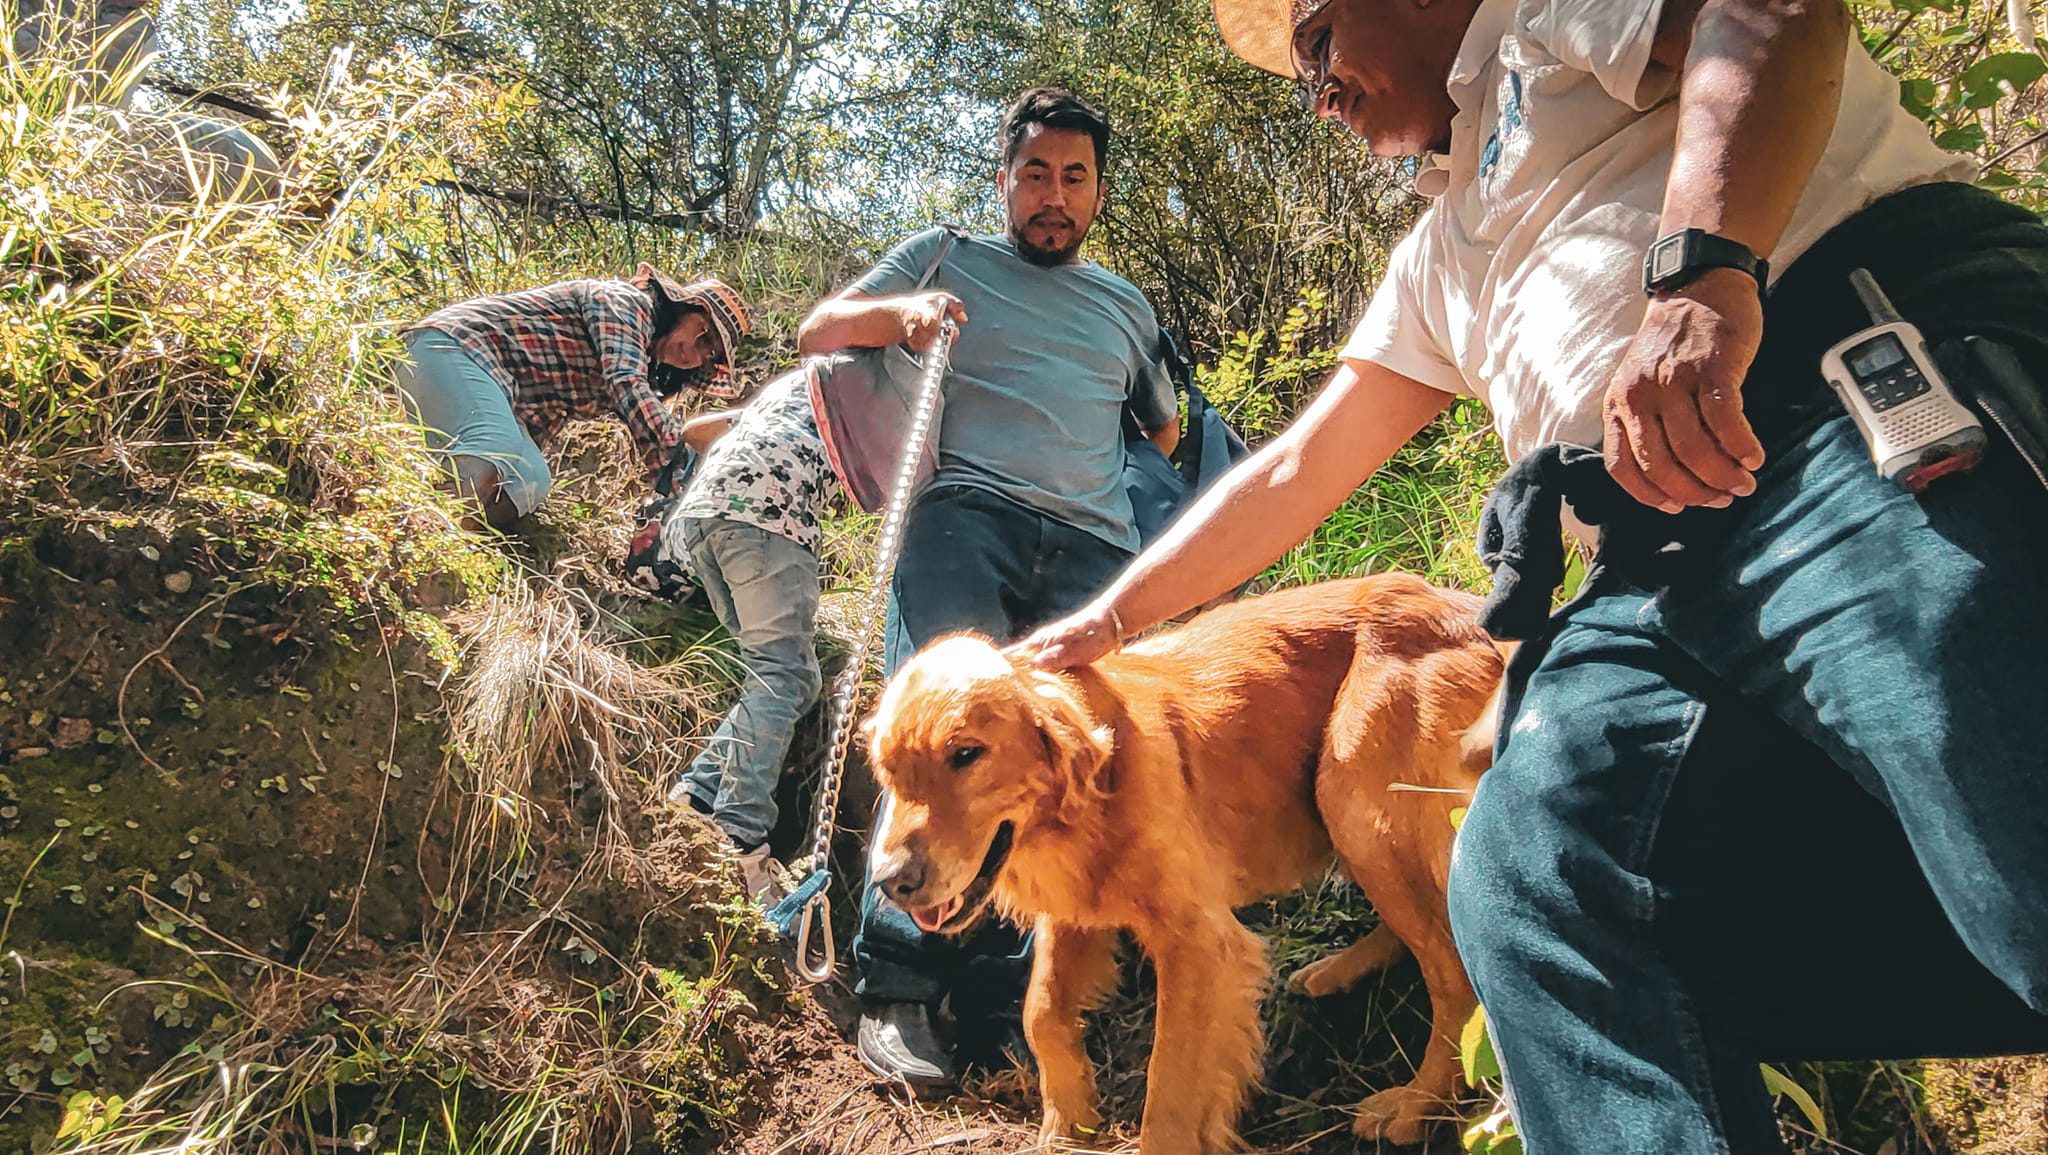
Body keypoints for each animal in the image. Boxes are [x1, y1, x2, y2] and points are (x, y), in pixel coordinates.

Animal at [864, 573, 1507, 1146]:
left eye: (965, 754)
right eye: (886, 772)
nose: (889, 882)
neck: (1098, 797)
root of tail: (1473, 615)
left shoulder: (1198, 944)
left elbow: (1169, 1089)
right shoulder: (1072, 913)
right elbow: (1040, 1010)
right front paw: (1067, 1123)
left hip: (1351, 791)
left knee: (1455, 979)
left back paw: (1414, 1105)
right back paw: (1335, 971)